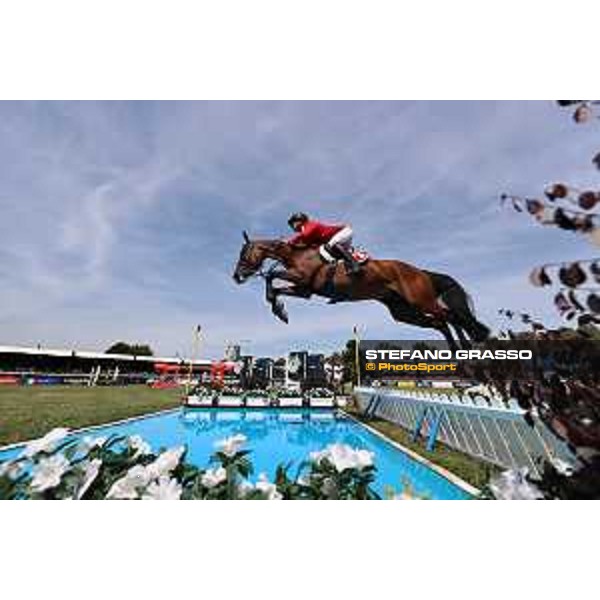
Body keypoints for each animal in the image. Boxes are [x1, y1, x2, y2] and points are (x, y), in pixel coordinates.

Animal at [232, 231, 490, 352]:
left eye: (244, 254)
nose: (236, 276)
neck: (296, 254)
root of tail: (421, 271)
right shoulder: (305, 289)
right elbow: (276, 287)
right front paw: (280, 311)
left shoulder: (303, 279)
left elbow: (273, 276)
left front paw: (277, 307)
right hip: (403, 312)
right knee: (440, 322)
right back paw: (457, 352)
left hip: (420, 300)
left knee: (451, 316)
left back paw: (466, 348)